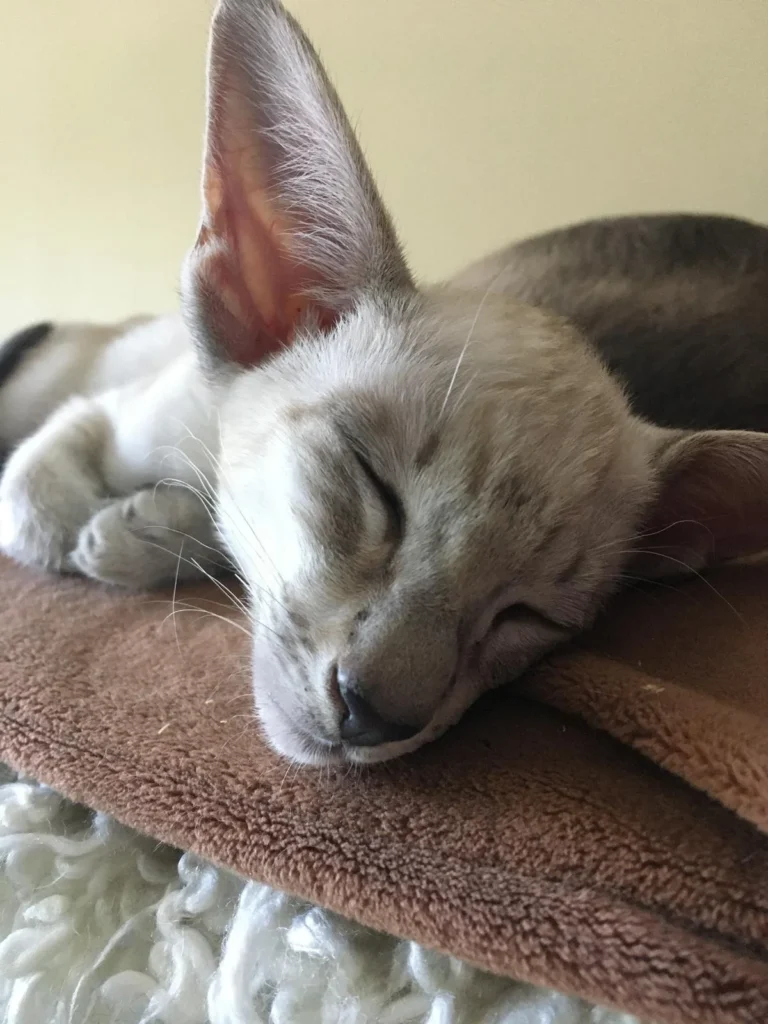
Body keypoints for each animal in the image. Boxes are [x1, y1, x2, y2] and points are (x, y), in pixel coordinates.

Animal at [1, 0, 768, 770]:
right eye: (374, 488)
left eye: (526, 614)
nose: (376, 713)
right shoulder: (110, 412)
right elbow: (34, 504)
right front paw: (92, 534)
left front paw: (137, 535)